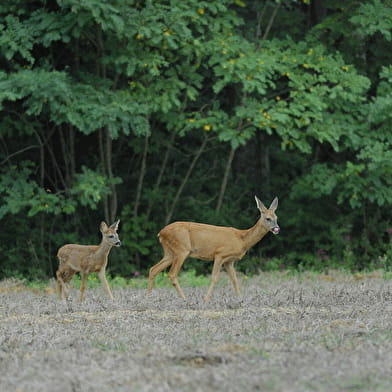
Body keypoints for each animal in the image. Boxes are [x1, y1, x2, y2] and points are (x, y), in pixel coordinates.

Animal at [147, 194, 278, 302]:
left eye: (276, 218)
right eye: (268, 218)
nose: (277, 228)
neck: (242, 240)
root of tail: (161, 233)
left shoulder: (229, 261)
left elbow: (235, 280)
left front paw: (241, 299)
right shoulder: (220, 254)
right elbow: (214, 278)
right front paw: (206, 299)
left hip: (170, 252)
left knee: (153, 269)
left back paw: (148, 297)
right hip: (181, 249)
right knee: (172, 274)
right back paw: (184, 299)